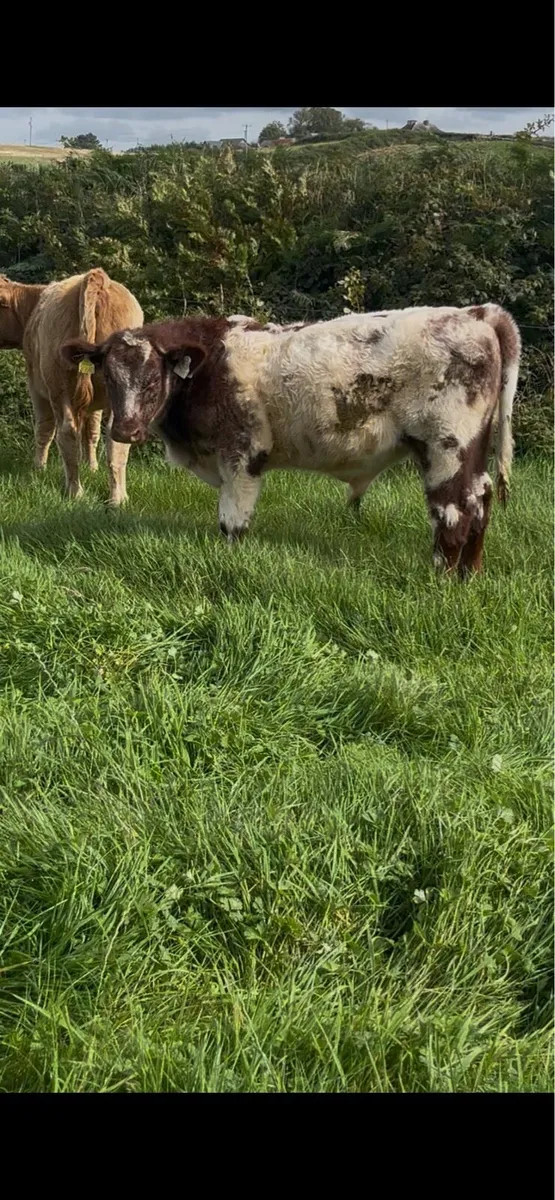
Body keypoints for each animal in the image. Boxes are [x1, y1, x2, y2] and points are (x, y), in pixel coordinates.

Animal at [0, 269, 143, 504]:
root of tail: (96, 277)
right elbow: (92, 432)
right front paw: (92, 467)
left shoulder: (36, 387)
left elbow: (44, 429)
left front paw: (38, 469)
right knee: (115, 438)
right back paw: (118, 498)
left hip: (59, 387)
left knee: (66, 432)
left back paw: (74, 492)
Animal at [61, 303, 520, 576]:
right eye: (108, 376)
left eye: (153, 379)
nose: (125, 430)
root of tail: (476, 314)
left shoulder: (241, 454)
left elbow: (232, 522)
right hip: (470, 453)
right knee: (481, 500)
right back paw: (469, 576)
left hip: (447, 447)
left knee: (455, 512)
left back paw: (441, 577)